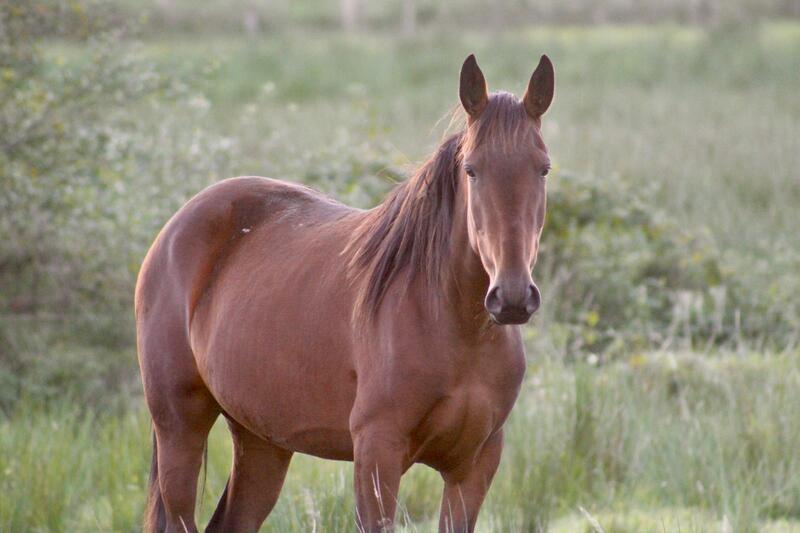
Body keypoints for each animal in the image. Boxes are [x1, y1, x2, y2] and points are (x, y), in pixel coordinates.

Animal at [136, 53, 555, 533]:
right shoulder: (376, 454)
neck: (453, 323)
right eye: (472, 169)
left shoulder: (475, 465)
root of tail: (174, 230)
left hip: (261, 440)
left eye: (543, 168)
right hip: (180, 429)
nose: (512, 298)